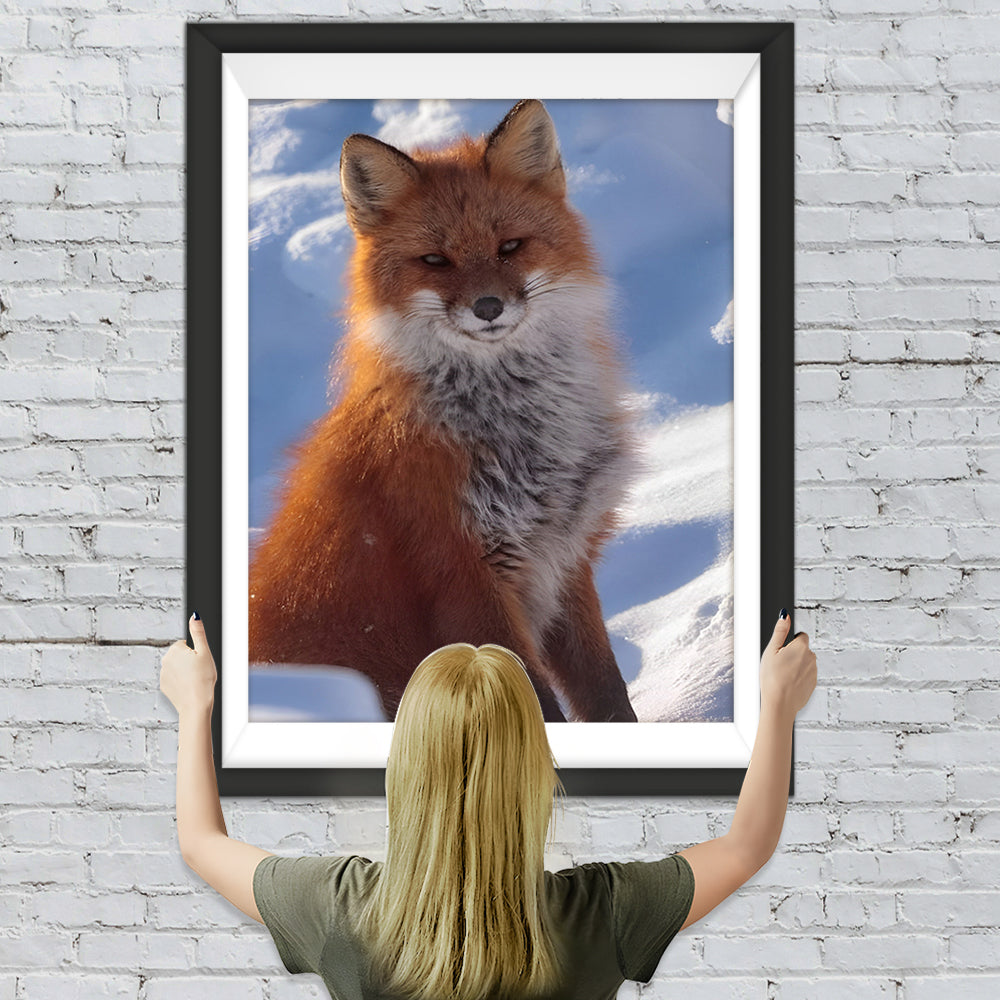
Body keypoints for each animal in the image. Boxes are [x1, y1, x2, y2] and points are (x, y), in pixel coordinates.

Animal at [248, 99, 638, 723]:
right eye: (435, 260)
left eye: (510, 246)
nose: (488, 307)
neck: (524, 435)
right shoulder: (463, 574)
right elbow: (534, 706)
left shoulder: (565, 560)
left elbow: (607, 695)